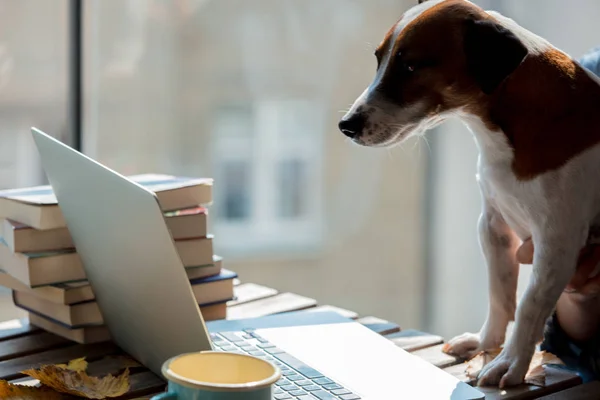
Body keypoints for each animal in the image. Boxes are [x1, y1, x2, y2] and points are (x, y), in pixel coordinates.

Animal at [340, 0, 600, 390]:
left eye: (411, 65)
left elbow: (529, 303)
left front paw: (511, 363)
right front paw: (486, 343)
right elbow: (499, 294)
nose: (346, 125)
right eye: (379, 60)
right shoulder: (493, 226)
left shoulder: (557, 241)